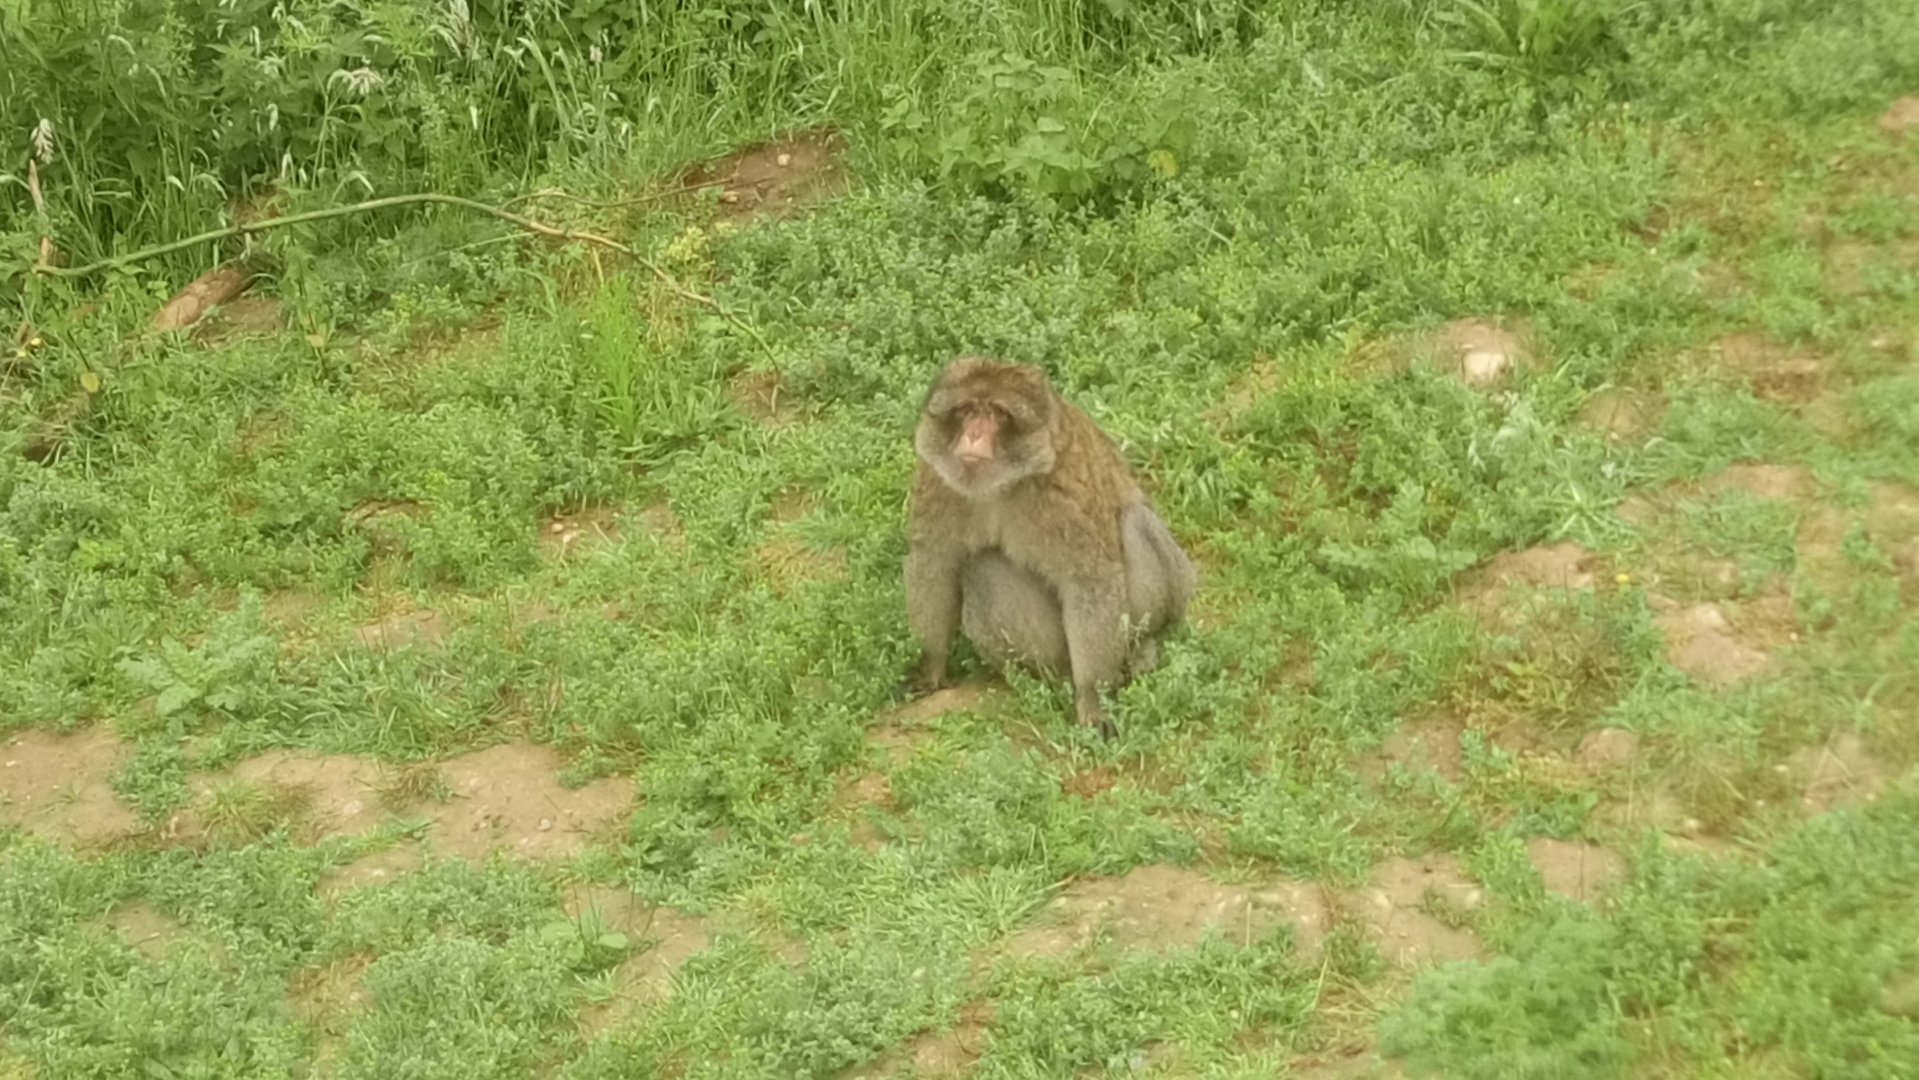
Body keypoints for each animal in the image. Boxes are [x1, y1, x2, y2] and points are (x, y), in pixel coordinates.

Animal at [903, 356, 1196, 737]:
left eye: (998, 414)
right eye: (966, 410)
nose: (974, 435)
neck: (1003, 484)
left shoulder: (1064, 495)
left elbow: (1088, 581)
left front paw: (1092, 700)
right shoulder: (937, 479)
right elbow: (934, 563)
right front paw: (932, 665)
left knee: (1134, 522)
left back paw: (1145, 643)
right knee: (982, 567)